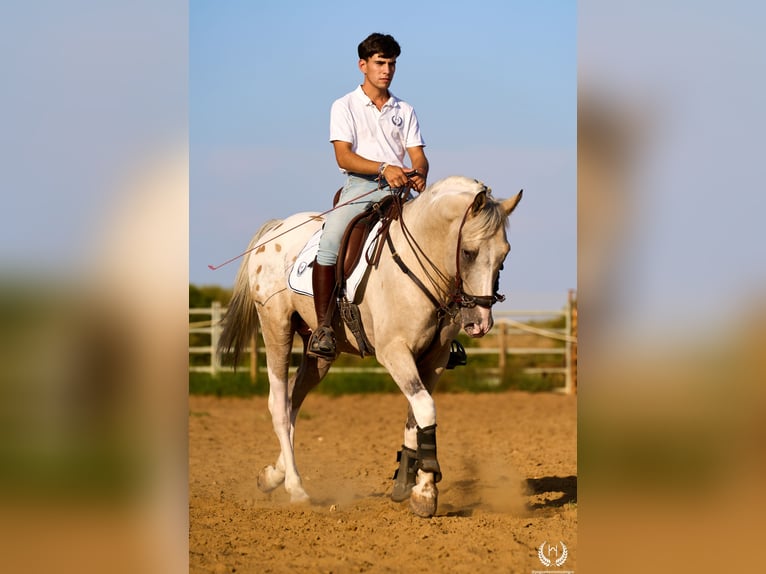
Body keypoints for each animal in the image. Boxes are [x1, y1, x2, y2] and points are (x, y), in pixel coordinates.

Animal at [218, 175, 522, 517]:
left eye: (503, 256)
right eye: (469, 253)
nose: (480, 323)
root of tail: (276, 229)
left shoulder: (434, 360)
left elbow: (416, 416)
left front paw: (408, 484)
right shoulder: (395, 352)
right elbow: (426, 408)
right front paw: (426, 489)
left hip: (319, 353)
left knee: (293, 400)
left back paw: (272, 475)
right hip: (276, 328)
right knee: (279, 405)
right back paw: (296, 488)